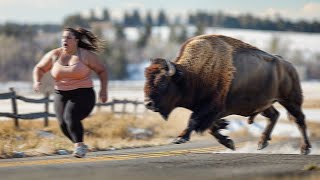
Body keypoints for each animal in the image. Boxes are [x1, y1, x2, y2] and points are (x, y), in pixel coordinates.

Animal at [144, 34, 312, 155]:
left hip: (290, 100)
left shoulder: (210, 108)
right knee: (274, 115)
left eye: (163, 82)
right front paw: (229, 142)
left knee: (299, 120)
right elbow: (211, 128)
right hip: (265, 103)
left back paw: (305, 149)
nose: (148, 103)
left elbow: (193, 121)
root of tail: (288, 65)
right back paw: (262, 143)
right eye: (147, 79)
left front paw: (180, 138)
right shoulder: (211, 112)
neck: (190, 75)